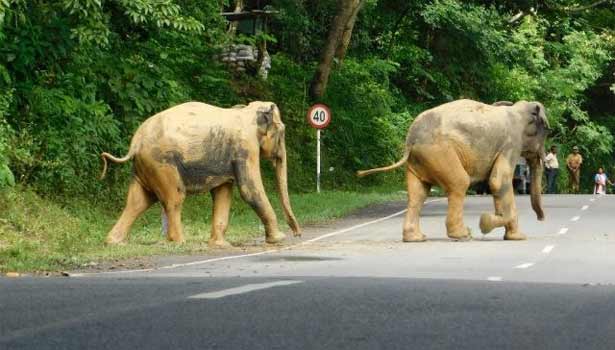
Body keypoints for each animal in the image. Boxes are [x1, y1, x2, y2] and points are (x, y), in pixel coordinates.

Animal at [100, 102, 302, 246]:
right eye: (282, 131)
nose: (297, 234)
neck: (247, 110)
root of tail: (135, 143)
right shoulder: (246, 147)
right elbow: (249, 191)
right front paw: (279, 239)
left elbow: (223, 192)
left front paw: (220, 245)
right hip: (162, 164)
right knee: (174, 198)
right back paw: (179, 242)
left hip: (146, 166)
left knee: (138, 201)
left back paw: (114, 242)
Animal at [358, 98, 552, 241]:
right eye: (547, 131)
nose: (541, 219)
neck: (517, 110)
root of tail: (411, 138)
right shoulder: (511, 144)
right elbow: (498, 182)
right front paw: (493, 226)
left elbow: (497, 184)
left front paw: (506, 232)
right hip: (440, 152)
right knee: (460, 183)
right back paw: (463, 235)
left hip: (420, 158)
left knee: (418, 193)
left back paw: (416, 238)